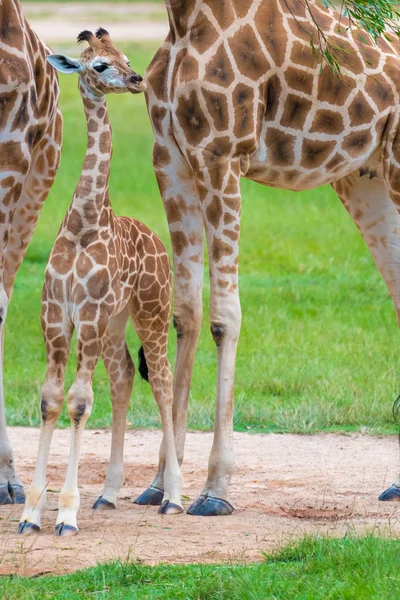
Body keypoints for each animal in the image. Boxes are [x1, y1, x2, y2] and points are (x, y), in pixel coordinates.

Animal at [17, 28, 183, 536]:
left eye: (125, 57)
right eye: (100, 65)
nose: (136, 79)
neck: (84, 224)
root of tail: (158, 242)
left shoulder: (86, 316)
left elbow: (78, 401)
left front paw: (66, 514)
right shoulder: (57, 316)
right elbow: (52, 399)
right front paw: (31, 512)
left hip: (151, 312)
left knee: (163, 380)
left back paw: (173, 497)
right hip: (115, 323)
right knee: (125, 376)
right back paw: (108, 494)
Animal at [135, 0, 400, 516]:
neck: (183, 17)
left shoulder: (221, 156)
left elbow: (224, 317)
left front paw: (215, 490)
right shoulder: (170, 157)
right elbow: (185, 314)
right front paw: (160, 485)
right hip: (367, 179)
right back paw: (397, 484)